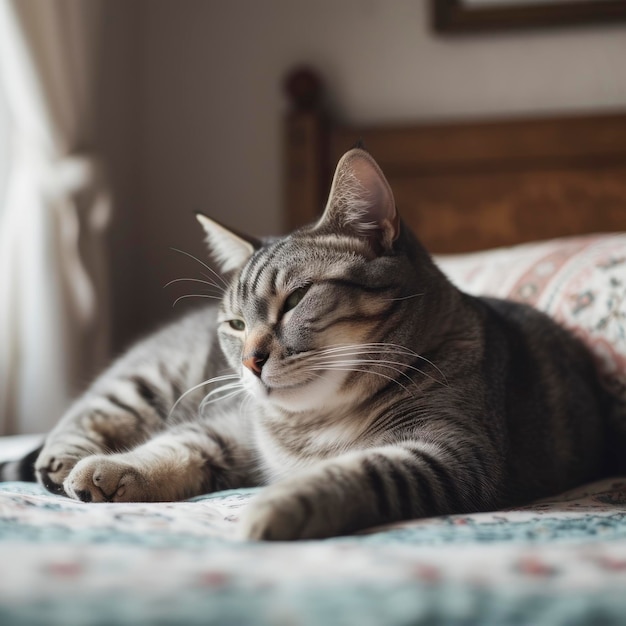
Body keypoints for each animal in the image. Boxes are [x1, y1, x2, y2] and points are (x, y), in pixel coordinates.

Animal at [0, 149, 620, 540]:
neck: (314, 421)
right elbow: (180, 444)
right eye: (234, 324)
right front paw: (110, 469)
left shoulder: (451, 452)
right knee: (85, 413)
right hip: (145, 379)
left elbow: (357, 471)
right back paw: (64, 460)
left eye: (296, 299)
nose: (250, 360)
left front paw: (278, 505)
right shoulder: (233, 427)